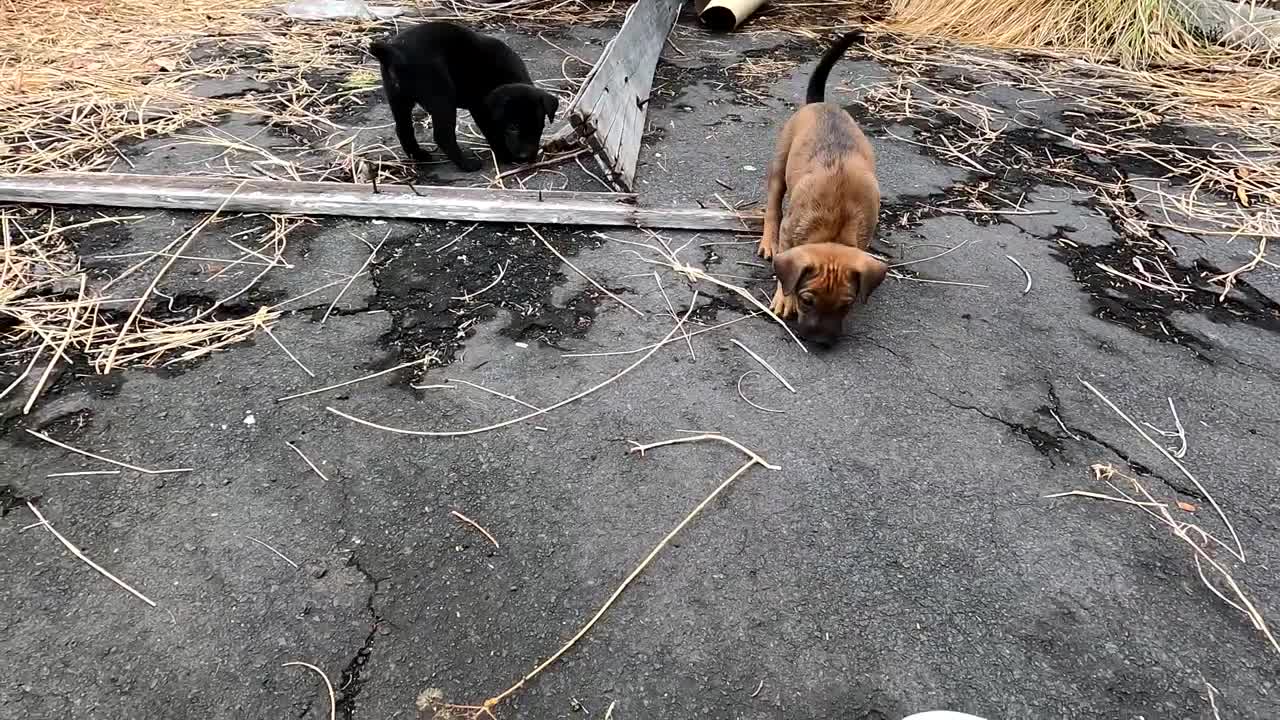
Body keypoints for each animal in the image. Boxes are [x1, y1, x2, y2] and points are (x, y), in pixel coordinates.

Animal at [366, 21, 555, 170]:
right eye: (513, 127)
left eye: (539, 126)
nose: (526, 157)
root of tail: (394, 51)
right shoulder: (481, 109)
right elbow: (493, 133)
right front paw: (504, 155)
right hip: (442, 98)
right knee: (443, 135)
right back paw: (467, 164)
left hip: (398, 99)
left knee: (403, 129)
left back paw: (419, 156)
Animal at [752, 32, 885, 345]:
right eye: (807, 300)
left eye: (846, 305)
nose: (821, 342)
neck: (833, 230)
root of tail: (820, 103)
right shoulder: (790, 231)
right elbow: (785, 270)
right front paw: (784, 298)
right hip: (779, 167)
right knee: (773, 208)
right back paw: (768, 241)